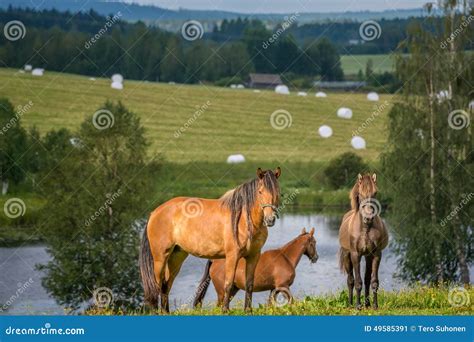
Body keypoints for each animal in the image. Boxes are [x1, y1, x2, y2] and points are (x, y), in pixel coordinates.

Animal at [141, 167, 282, 312]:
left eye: (278, 191)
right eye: (260, 191)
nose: (270, 219)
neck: (244, 219)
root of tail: (155, 212)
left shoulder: (253, 256)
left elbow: (249, 284)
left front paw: (248, 311)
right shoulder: (232, 256)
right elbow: (228, 284)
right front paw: (225, 311)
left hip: (176, 257)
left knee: (166, 285)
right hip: (160, 258)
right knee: (157, 285)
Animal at [338, 174, 386, 310]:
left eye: (375, 192)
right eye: (360, 193)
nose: (368, 217)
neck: (365, 228)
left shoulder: (376, 254)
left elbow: (373, 281)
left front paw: (375, 305)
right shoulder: (355, 255)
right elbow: (357, 282)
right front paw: (357, 306)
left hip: (368, 257)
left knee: (367, 279)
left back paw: (367, 304)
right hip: (347, 256)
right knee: (350, 280)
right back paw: (350, 303)